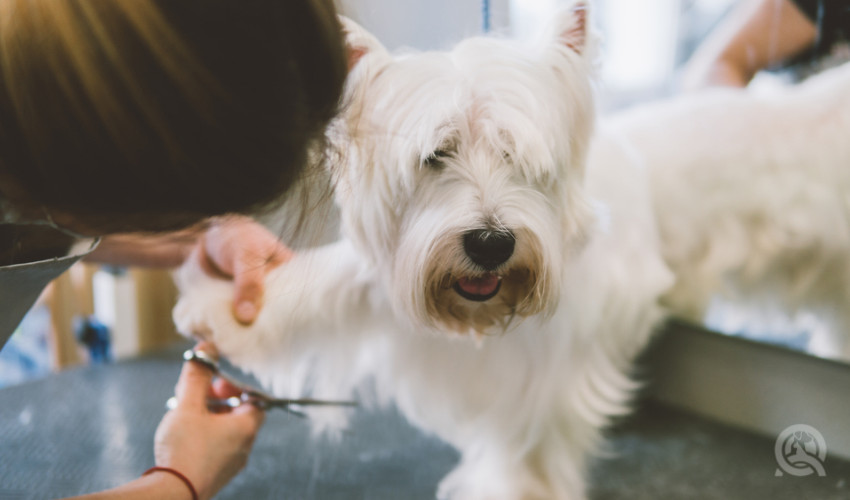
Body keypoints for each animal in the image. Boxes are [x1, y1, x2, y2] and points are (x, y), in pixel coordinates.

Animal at [174, 4, 668, 500]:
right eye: (435, 155)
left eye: (515, 155)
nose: (491, 244)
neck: (479, 324)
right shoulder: (390, 271)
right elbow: (326, 282)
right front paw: (225, 312)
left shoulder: (548, 375)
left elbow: (531, 446)